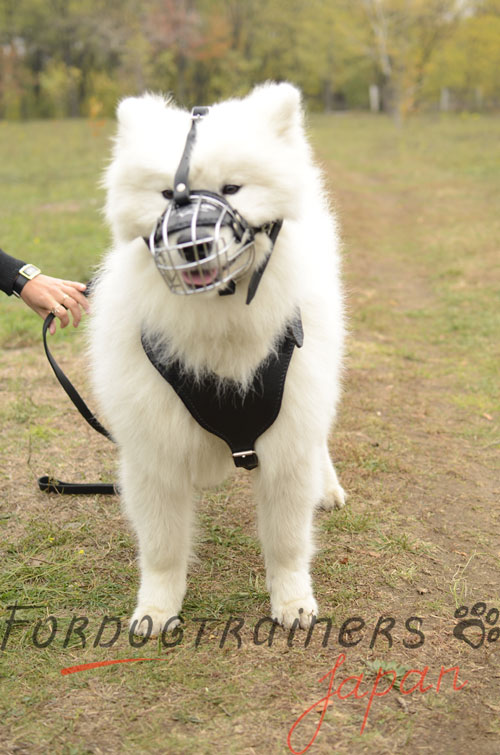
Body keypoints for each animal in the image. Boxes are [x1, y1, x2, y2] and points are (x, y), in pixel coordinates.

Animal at [89, 82, 344, 636]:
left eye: (232, 188)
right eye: (167, 195)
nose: (192, 244)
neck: (218, 329)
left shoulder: (288, 444)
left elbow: (287, 542)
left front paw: (292, 602)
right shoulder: (155, 454)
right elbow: (162, 548)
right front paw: (157, 609)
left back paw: (329, 488)